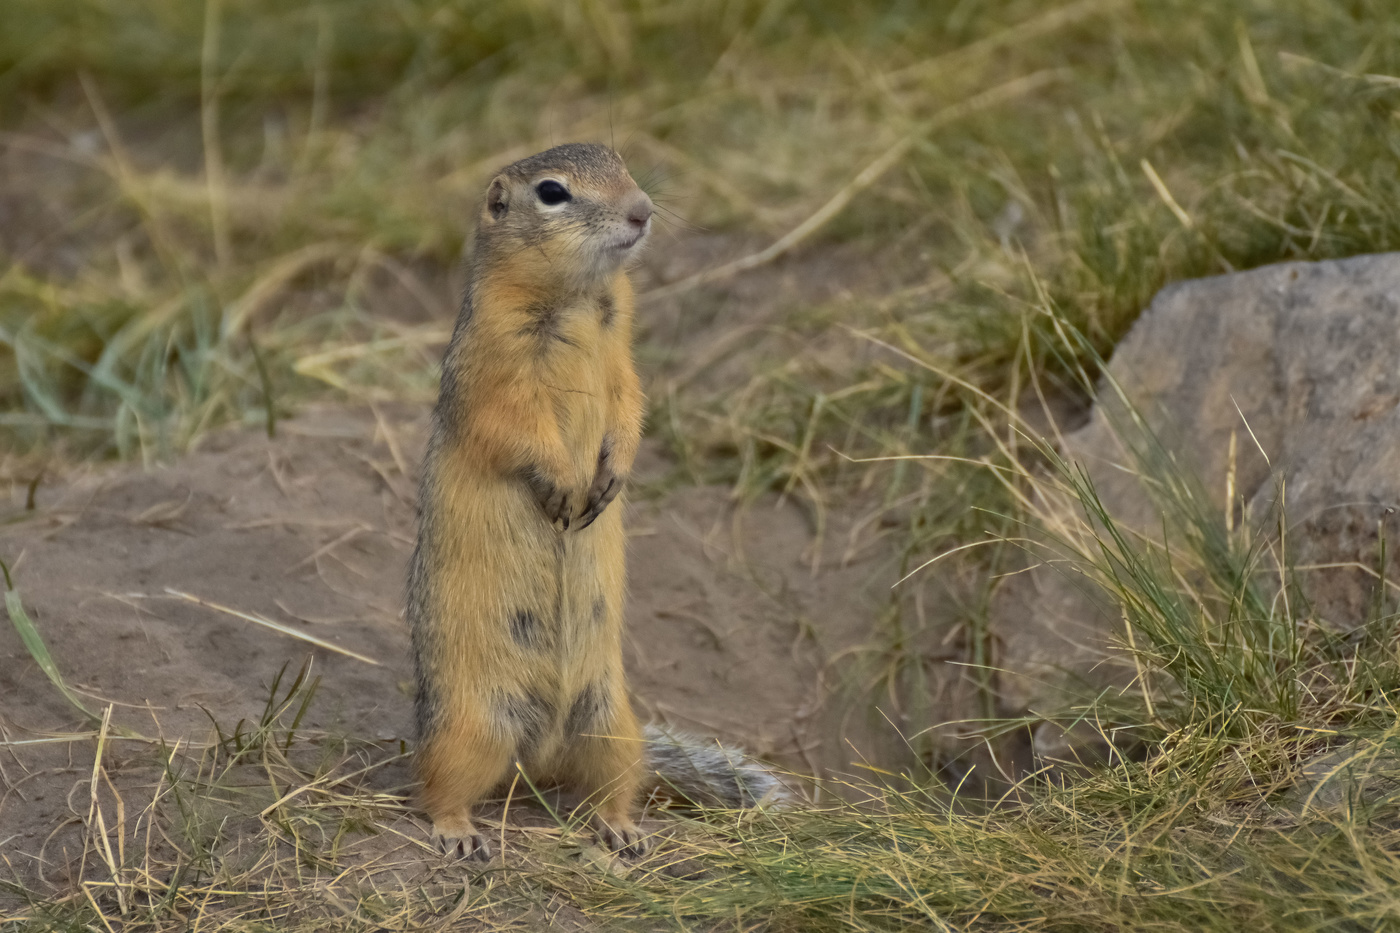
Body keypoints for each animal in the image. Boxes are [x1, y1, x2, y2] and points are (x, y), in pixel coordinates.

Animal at [408, 140, 789, 857]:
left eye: (622, 162)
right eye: (553, 192)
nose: (642, 210)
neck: (582, 298)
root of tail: (535, 760)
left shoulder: (624, 360)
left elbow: (631, 405)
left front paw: (612, 476)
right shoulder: (495, 367)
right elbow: (517, 425)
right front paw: (563, 481)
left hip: (612, 723)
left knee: (612, 785)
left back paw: (623, 830)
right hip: (472, 726)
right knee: (437, 787)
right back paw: (459, 832)